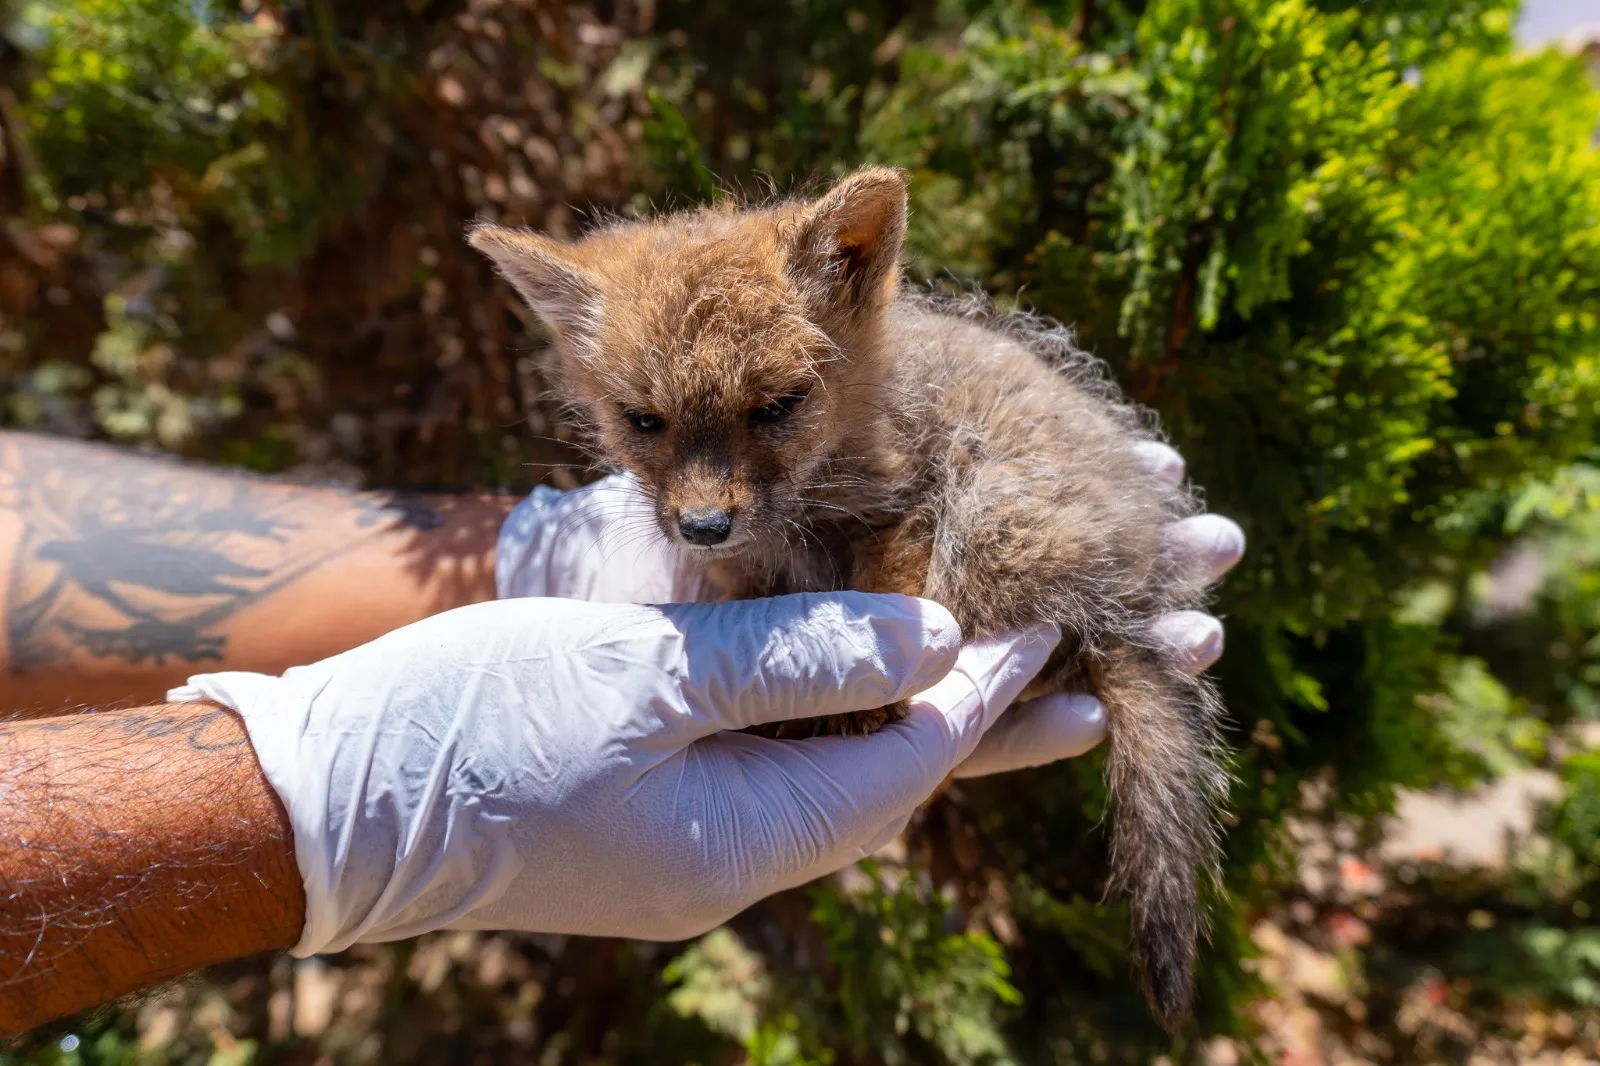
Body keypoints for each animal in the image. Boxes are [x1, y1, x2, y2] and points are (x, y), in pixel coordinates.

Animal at [468, 166, 1231, 1030]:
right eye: (643, 421)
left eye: (775, 407)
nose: (703, 526)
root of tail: (1135, 597)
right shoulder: (748, 570)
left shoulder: (903, 512)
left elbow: (886, 594)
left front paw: (866, 698)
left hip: (991, 525)